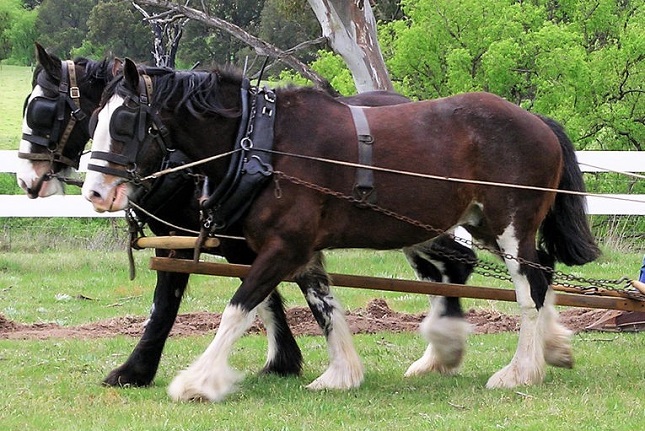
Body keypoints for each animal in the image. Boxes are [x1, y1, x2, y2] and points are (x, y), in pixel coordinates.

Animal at [18, 44, 472, 392]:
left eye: (42, 109)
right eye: (94, 119)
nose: (26, 179)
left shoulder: (214, 243)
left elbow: (171, 304)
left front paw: (136, 370)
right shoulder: (234, 240)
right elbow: (278, 296)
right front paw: (285, 361)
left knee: (457, 263)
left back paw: (440, 346)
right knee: (443, 269)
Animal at [80, 58, 600, 402]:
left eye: (125, 122)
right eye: (94, 119)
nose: (95, 193)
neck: (262, 143)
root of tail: (537, 121)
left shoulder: (283, 247)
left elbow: (238, 308)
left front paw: (198, 381)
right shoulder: (302, 250)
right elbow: (323, 306)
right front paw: (341, 374)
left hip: (510, 227)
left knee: (529, 288)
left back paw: (521, 371)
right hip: (482, 225)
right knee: (542, 271)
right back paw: (550, 349)